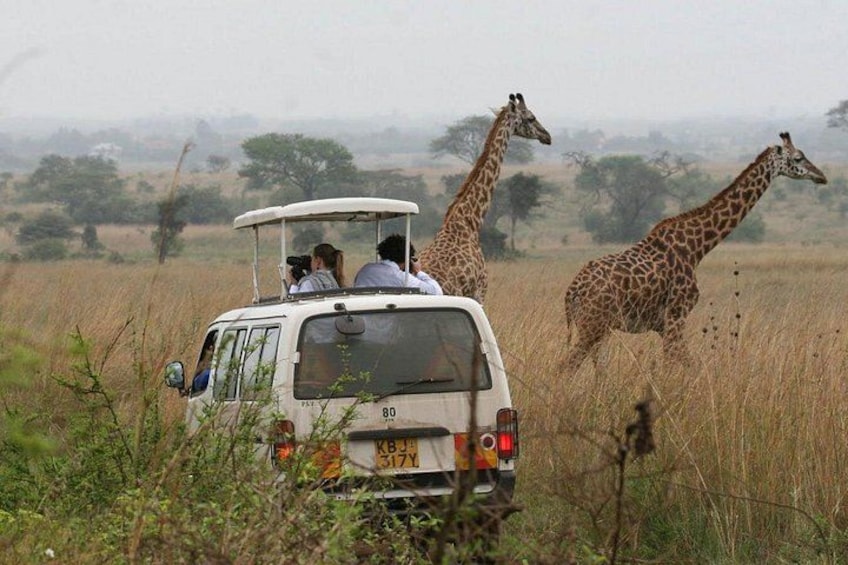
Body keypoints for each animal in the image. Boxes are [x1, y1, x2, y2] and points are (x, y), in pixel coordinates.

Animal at [563, 132, 827, 372]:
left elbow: (687, 364)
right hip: (593, 326)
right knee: (566, 367)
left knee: (597, 368)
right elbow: (678, 365)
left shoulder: (664, 324)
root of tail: (571, 292)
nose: (821, 176)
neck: (696, 247)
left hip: (599, 328)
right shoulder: (676, 316)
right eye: (798, 157)